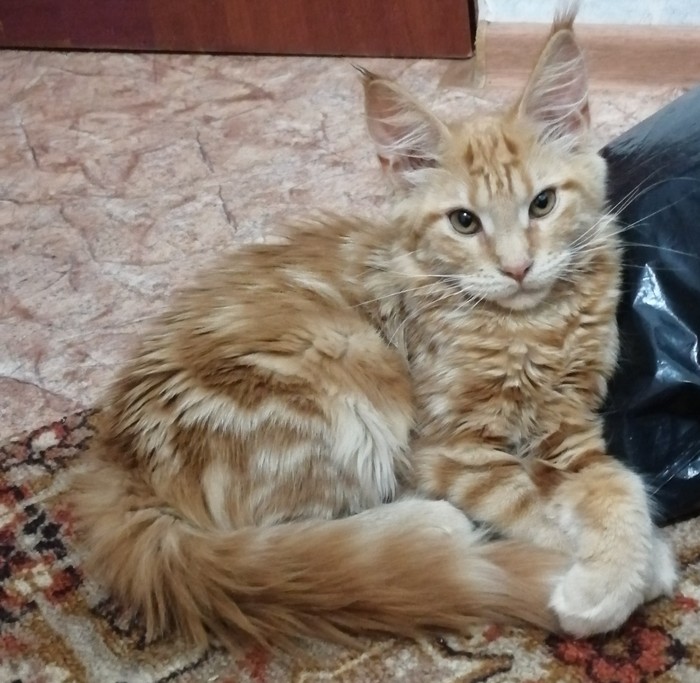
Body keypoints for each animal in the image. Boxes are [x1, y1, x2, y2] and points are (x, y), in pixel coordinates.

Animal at [71, 9, 677, 652]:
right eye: (465, 221)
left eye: (542, 204)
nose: (517, 267)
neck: (531, 327)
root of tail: (117, 461)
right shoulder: (448, 447)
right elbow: (529, 501)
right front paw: (621, 578)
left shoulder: (571, 422)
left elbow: (619, 485)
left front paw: (631, 555)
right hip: (348, 368)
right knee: (296, 538)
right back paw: (431, 524)